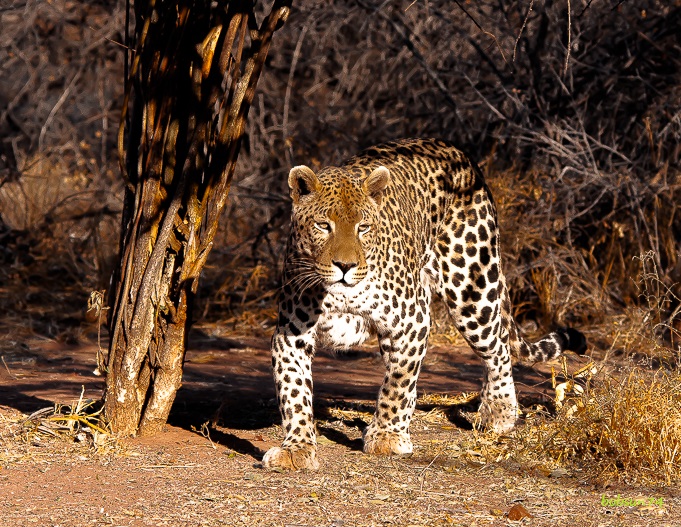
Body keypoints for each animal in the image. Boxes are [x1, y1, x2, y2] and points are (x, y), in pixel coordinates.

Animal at [260, 137, 584, 470]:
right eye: (324, 226)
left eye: (363, 227)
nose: (345, 266)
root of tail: (455, 151)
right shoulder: (291, 334)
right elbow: (295, 392)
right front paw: (296, 448)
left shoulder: (411, 321)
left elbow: (398, 382)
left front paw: (387, 436)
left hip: (472, 291)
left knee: (499, 348)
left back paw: (500, 411)